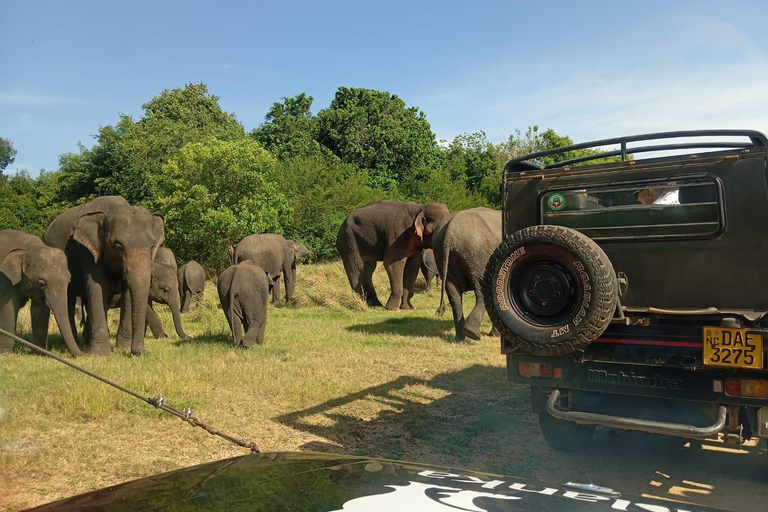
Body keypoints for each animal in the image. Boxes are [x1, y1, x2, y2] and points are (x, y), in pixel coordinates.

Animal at [42, 196, 164, 356]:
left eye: (152, 246)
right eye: (118, 246)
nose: (144, 352)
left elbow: (127, 293)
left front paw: (122, 349)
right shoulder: (87, 250)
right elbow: (98, 286)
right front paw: (101, 354)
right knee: (69, 299)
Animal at [432, 206, 504, 342]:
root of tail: (450, 231)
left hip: (441, 254)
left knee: (454, 297)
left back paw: (461, 338)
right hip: (478, 255)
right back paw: (472, 334)